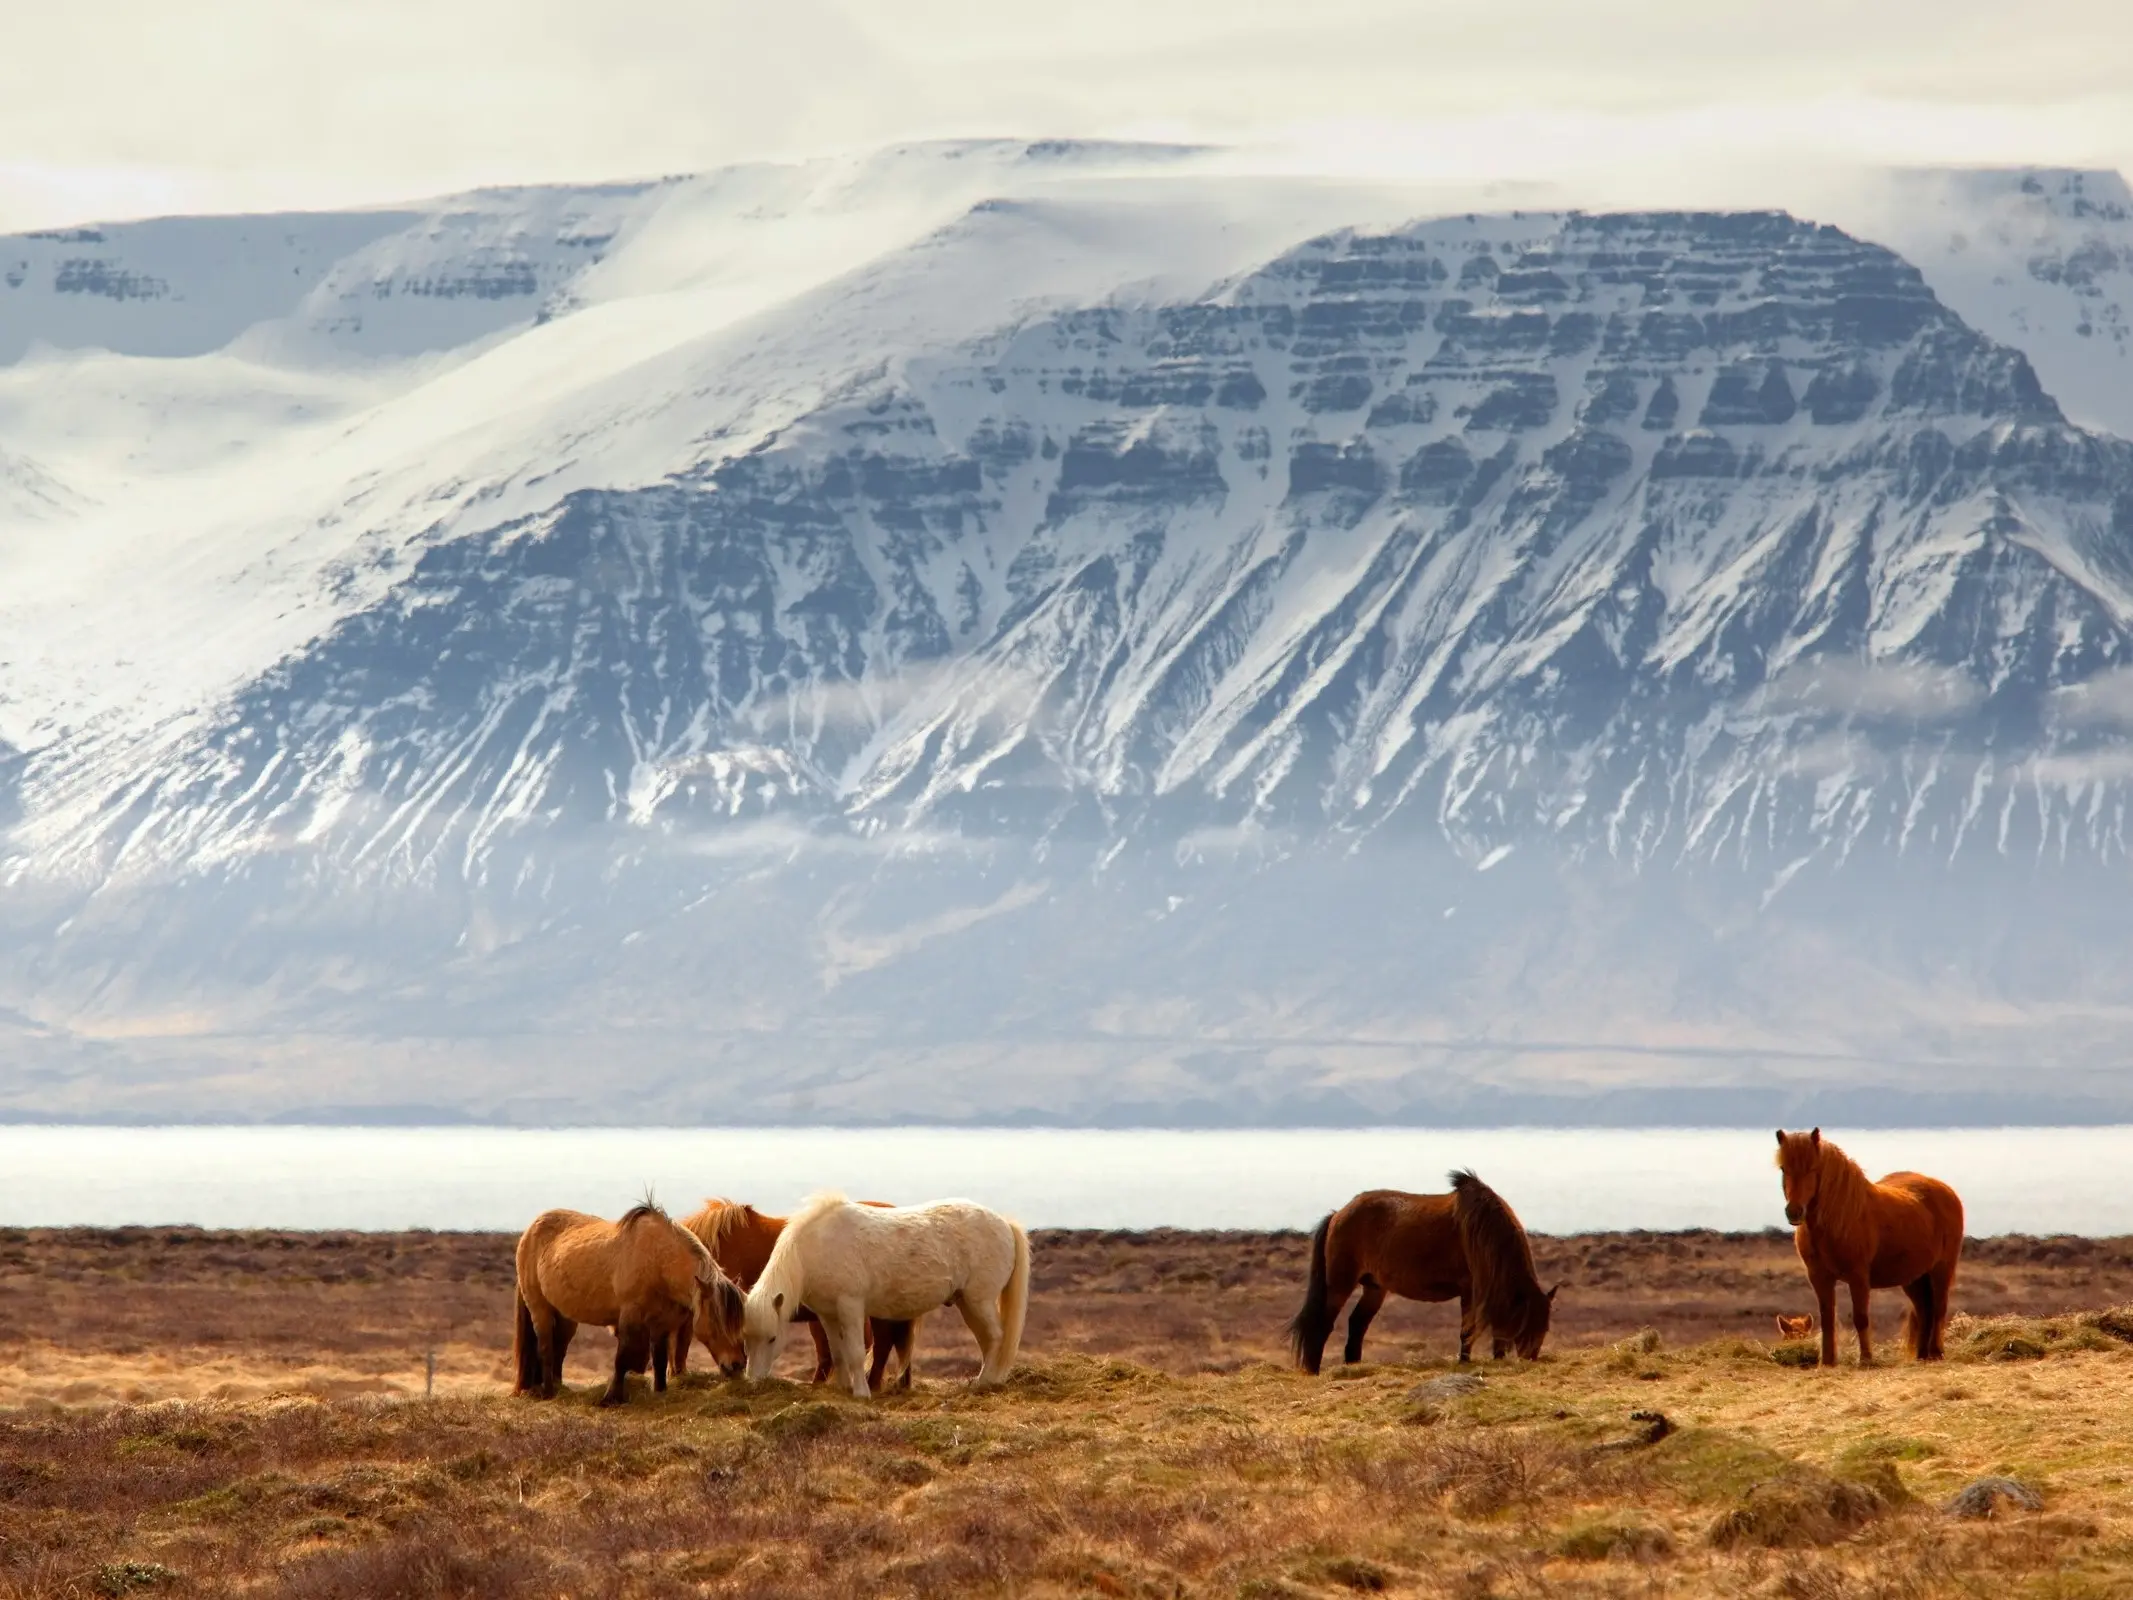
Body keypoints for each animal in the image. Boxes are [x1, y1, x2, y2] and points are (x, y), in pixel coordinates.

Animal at [507, 1211, 742, 1408]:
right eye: (717, 1320)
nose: (737, 1365)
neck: (658, 1260)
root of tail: (529, 1231)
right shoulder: (630, 1316)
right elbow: (621, 1359)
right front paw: (610, 1399)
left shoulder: (660, 1325)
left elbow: (659, 1360)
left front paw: (660, 1392)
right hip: (540, 1309)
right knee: (545, 1347)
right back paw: (548, 1392)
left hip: (565, 1317)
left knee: (559, 1349)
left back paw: (559, 1387)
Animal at [746, 1194, 1028, 1399]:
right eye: (746, 1338)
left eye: (772, 1338)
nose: (754, 1382)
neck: (817, 1244)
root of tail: (1004, 1223)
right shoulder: (828, 1315)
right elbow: (838, 1352)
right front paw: (843, 1388)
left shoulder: (850, 1306)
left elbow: (855, 1352)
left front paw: (861, 1393)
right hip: (967, 1303)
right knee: (986, 1341)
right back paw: (987, 1380)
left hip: (980, 1301)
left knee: (995, 1337)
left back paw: (984, 1383)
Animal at [1279, 1169, 1569, 1382]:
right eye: (1529, 1324)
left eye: (1546, 1326)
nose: (1530, 1359)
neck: (1483, 1231)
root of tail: (1338, 1214)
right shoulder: (1470, 1289)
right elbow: (1467, 1330)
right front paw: (1465, 1363)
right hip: (1340, 1283)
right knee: (1324, 1323)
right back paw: (1314, 1370)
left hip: (1375, 1287)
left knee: (1357, 1323)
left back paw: (1354, 1366)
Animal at [1774, 1126, 1953, 1382]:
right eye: (1783, 1168)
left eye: (1813, 1168)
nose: (1794, 1212)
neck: (1839, 1217)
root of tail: (1946, 1190)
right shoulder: (1819, 1277)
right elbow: (1827, 1318)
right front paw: (1827, 1362)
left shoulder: (1858, 1277)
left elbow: (1860, 1317)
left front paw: (1866, 1359)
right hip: (1914, 1278)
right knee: (1924, 1310)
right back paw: (1922, 1355)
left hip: (1941, 1270)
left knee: (1938, 1307)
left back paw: (1936, 1353)